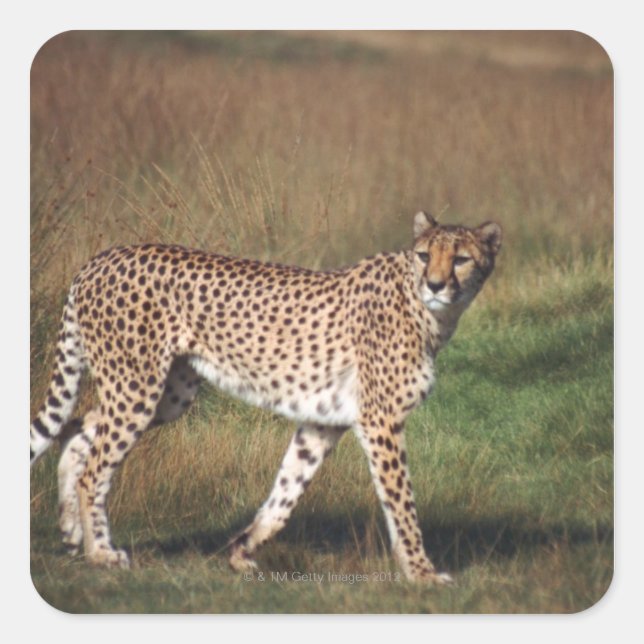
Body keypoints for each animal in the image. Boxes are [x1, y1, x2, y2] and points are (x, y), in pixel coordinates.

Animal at [30, 211, 502, 584]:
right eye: (424, 255)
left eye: (461, 259)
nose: (436, 284)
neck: (429, 312)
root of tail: (100, 259)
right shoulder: (380, 421)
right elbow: (402, 504)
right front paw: (422, 572)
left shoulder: (323, 422)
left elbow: (285, 494)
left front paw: (241, 551)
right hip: (137, 387)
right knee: (95, 468)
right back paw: (100, 552)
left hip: (166, 394)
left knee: (78, 428)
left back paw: (71, 530)